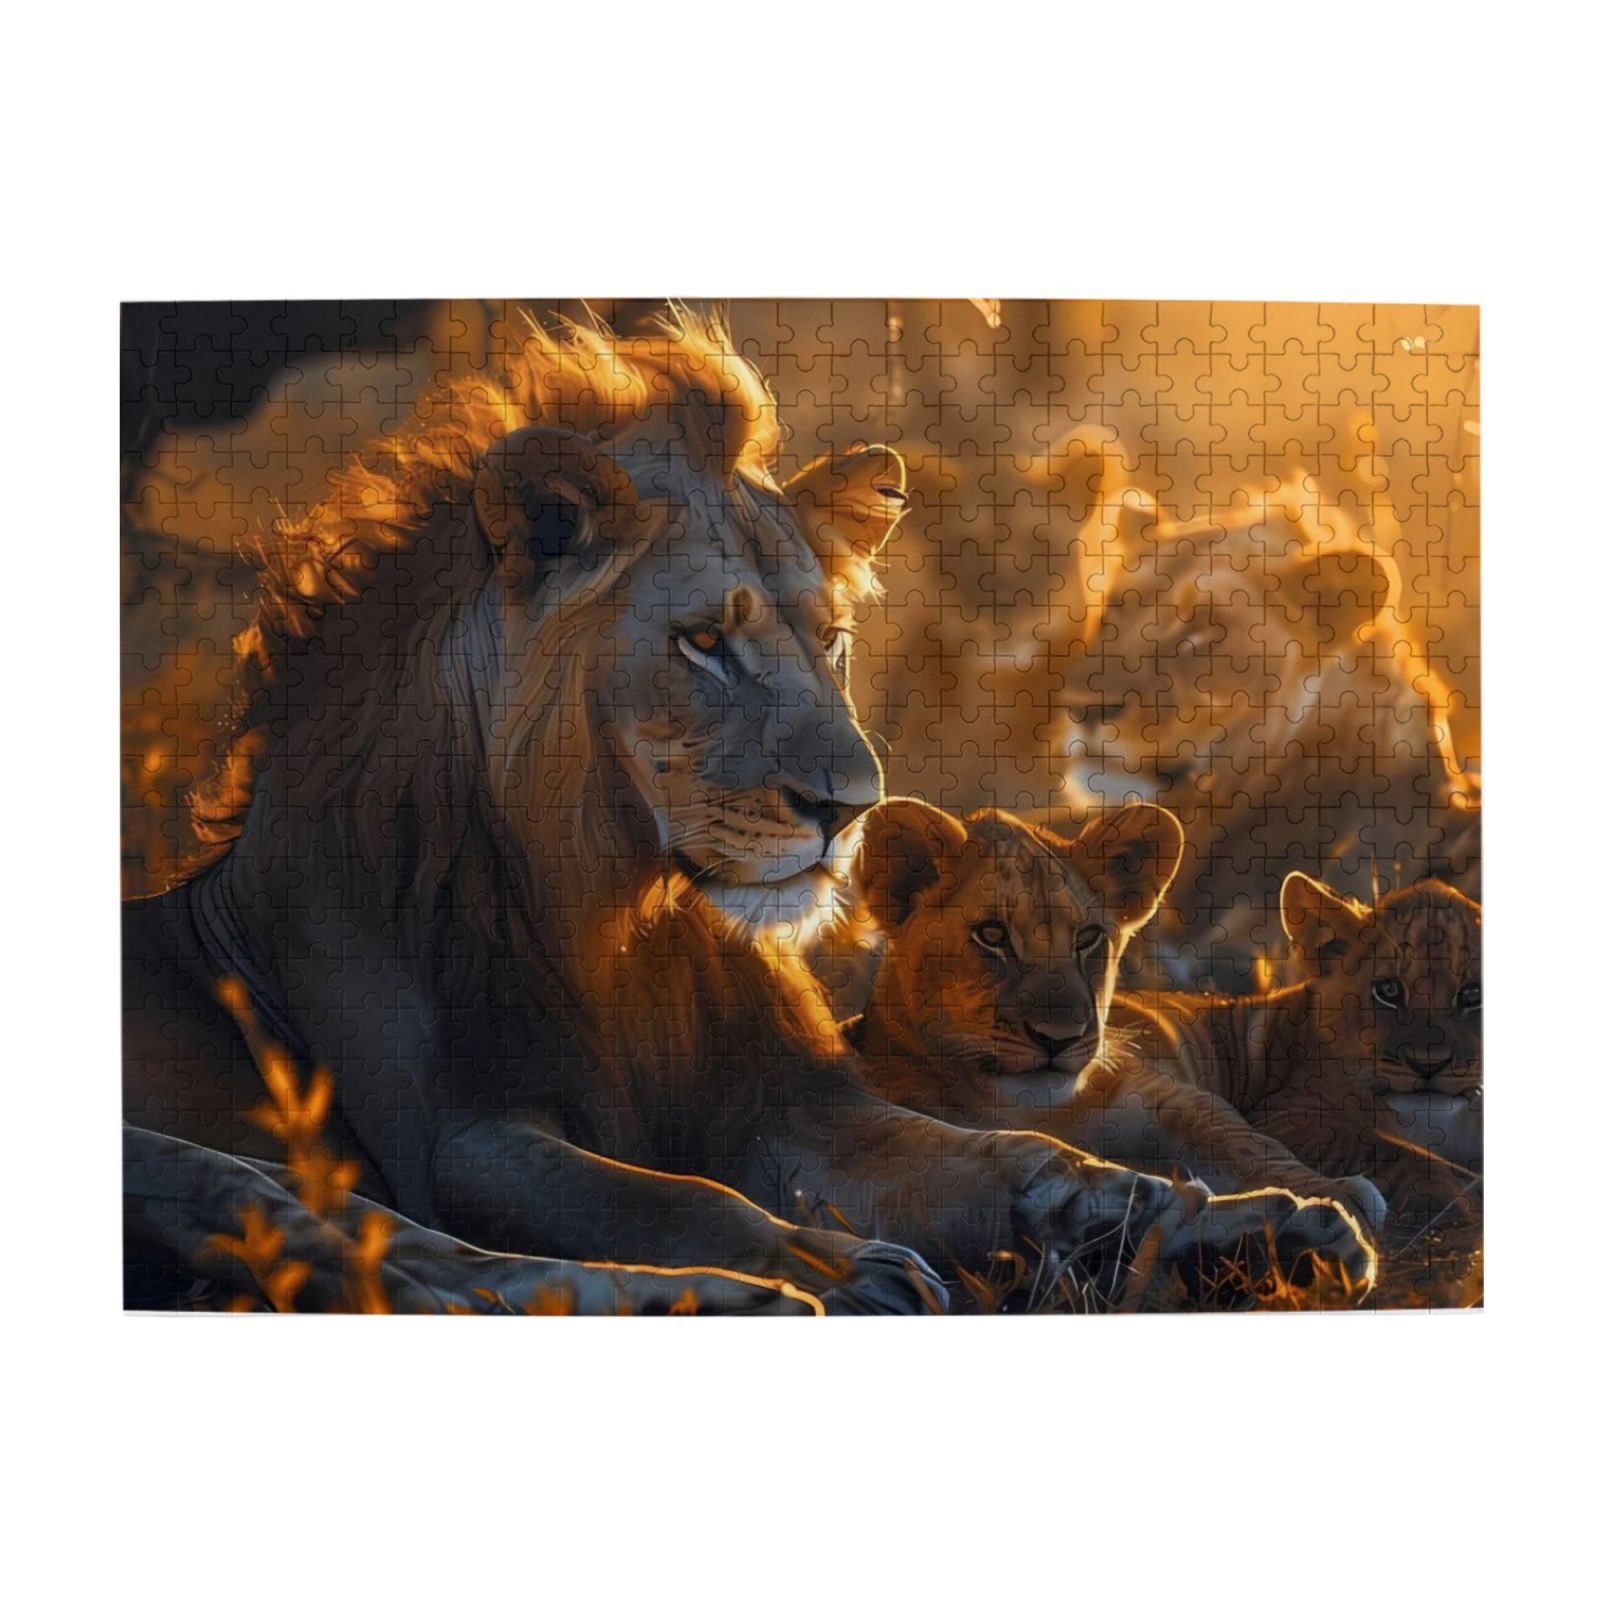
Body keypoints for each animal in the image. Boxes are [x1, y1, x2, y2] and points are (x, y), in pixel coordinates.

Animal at [125, 310, 1367, 1312]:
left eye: (831, 638)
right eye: (704, 642)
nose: (850, 807)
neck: (621, 924)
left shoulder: (793, 1102)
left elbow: (1004, 1150)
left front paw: (1201, 1213)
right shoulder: (460, 1137)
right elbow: (678, 1199)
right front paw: (837, 1261)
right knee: (383, 1253)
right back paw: (772, 1290)